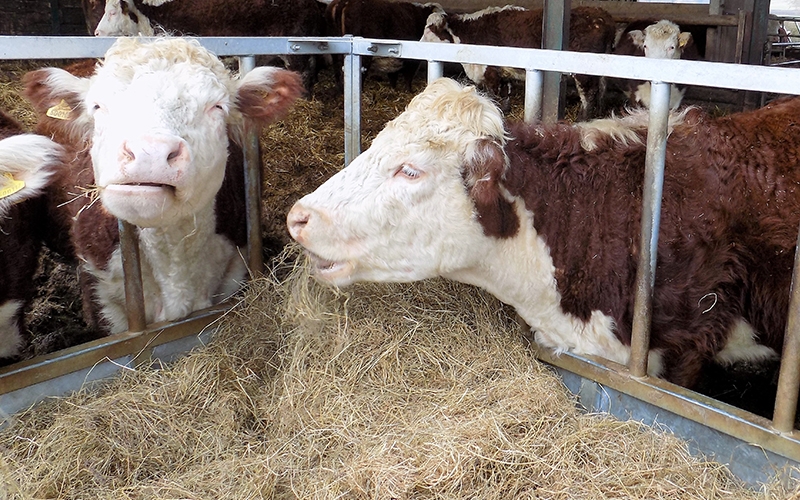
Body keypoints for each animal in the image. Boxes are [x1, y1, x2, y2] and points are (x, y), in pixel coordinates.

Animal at [422, 5, 616, 119]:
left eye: (430, 29)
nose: (420, 43)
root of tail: (602, 16)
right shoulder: (503, 71)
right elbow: (506, 93)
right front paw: (505, 110)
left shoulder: (490, 72)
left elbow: (492, 95)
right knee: (601, 89)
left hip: (584, 72)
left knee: (588, 94)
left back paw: (582, 118)